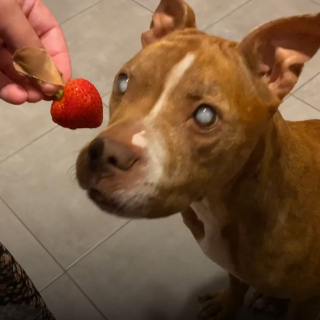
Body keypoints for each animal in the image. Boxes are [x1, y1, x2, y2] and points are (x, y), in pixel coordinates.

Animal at [75, 1, 320, 318]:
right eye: (123, 81)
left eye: (206, 116)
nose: (104, 154)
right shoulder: (233, 267)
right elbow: (236, 283)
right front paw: (226, 305)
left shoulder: (308, 301)